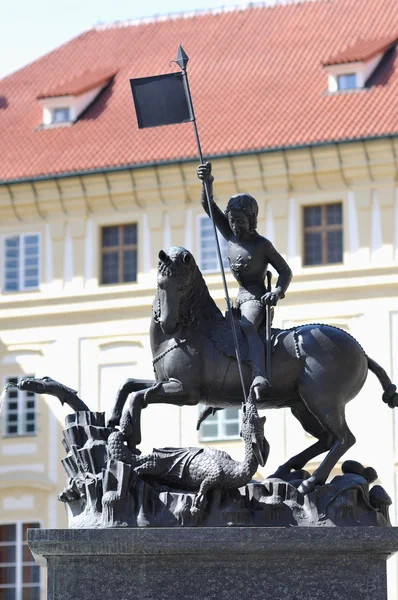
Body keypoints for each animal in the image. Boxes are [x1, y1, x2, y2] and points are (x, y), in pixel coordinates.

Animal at [107, 246, 396, 494]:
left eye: (181, 286)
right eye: (160, 284)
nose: (168, 323)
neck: (190, 330)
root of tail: (362, 352)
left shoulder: (185, 392)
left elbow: (139, 396)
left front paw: (130, 434)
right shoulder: (167, 383)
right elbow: (128, 383)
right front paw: (114, 419)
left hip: (323, 401)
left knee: (344, 439)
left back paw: (310, 481)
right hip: (301, 406)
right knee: (327, 439)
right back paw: (285, 470)